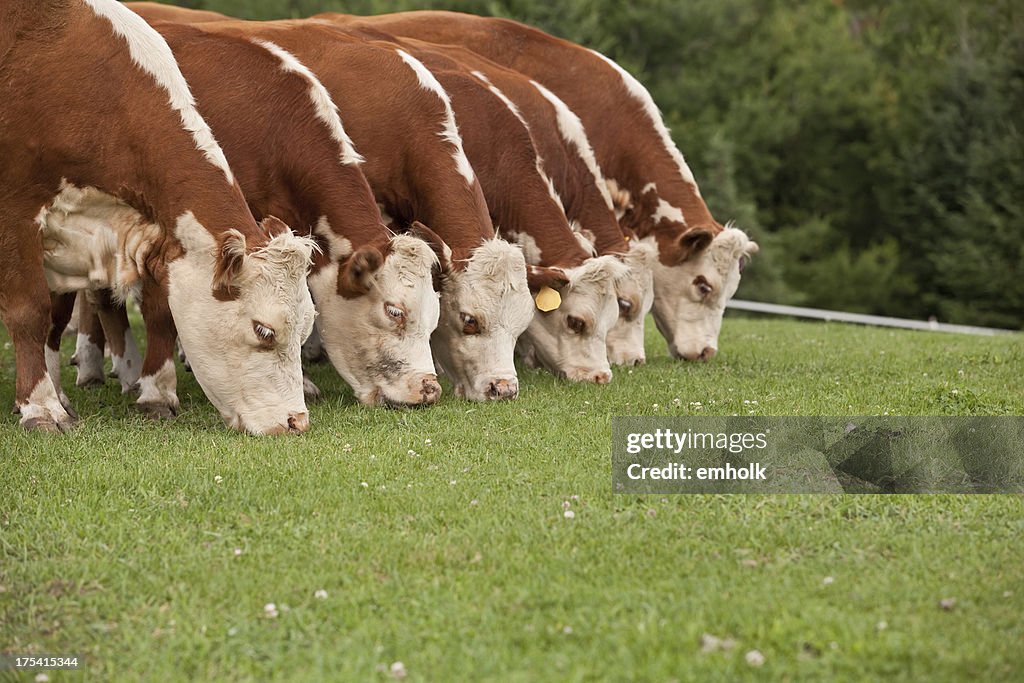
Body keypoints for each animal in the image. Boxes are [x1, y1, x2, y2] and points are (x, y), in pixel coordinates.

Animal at [1, 1, 315, 432]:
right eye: (264, 330)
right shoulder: (17, 215)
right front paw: (41, 406)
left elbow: (156, 309)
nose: (296, 421)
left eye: (305, 331)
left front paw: (157, 393)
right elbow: (31, 312)